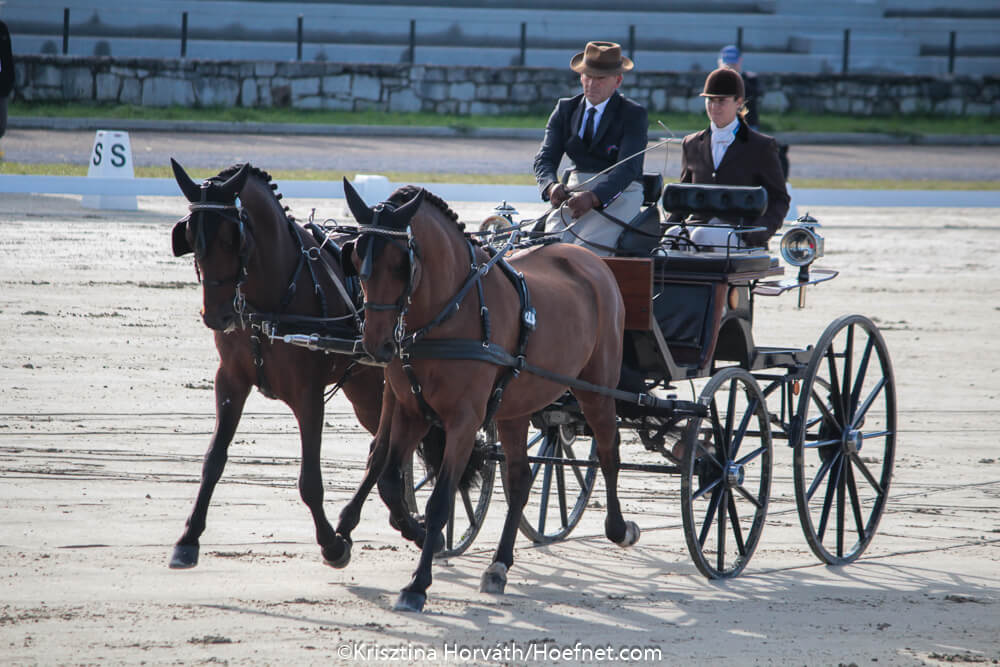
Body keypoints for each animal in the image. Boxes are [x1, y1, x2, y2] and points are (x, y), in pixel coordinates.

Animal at [167, 160, 458, 568]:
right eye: (192, 237)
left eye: (231, 239)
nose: (217, 316)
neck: (274, 299)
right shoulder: (230, 381)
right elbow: (213, 460)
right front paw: (188, 538)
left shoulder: (308, 395)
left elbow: (309, 481)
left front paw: (331, 545)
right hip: (369, 392)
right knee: (384, 453)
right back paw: (400, 522)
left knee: (388, 453)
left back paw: (405, 526)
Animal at [328, 180, 640, 612]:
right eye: (356, 258)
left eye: (400, 264)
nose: (376, 345)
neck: (449, 313)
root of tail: (592, 261)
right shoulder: (411, 410)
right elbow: (389, 479)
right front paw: (418, 535)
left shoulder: (464, 420)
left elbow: (440, 500)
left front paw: (417, 583)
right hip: (514, 407)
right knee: (520, 478)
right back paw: (499, 565)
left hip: (596, 390)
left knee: (609, 453)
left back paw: (618, 527)